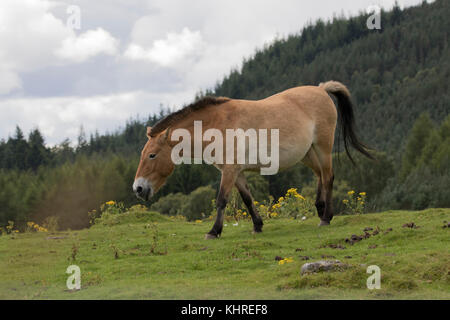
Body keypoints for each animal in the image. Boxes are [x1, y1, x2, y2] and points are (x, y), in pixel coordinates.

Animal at [133, 81, 372, 239]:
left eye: (152, 155)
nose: (138, 188)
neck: (217, 124)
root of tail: (322, 89)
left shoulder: (229, 171)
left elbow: (222, 200)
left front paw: (214, 231)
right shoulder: (237, 173)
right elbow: (248, 199)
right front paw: (257, 226)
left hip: (322, 148)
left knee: (329, 177)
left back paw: (326, 217)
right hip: (308, 153)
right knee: (320, 175)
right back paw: (320, 209)